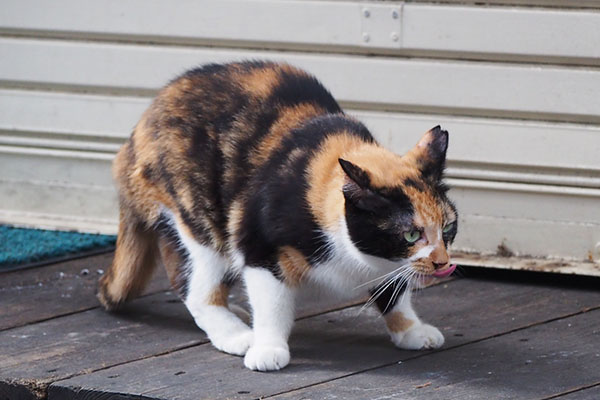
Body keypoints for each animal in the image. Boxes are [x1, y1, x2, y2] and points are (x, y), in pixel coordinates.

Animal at [98, 60, 458, 372]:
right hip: (196, 219)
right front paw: (268, 348)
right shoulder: (257, 245)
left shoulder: (388, 262)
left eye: (448, 228)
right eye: (411, 234)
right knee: (193, 286)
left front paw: (411, 330)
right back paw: (238, 334)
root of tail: (134, 137)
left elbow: (394, 292)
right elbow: (272, 303)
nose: (442, 262)